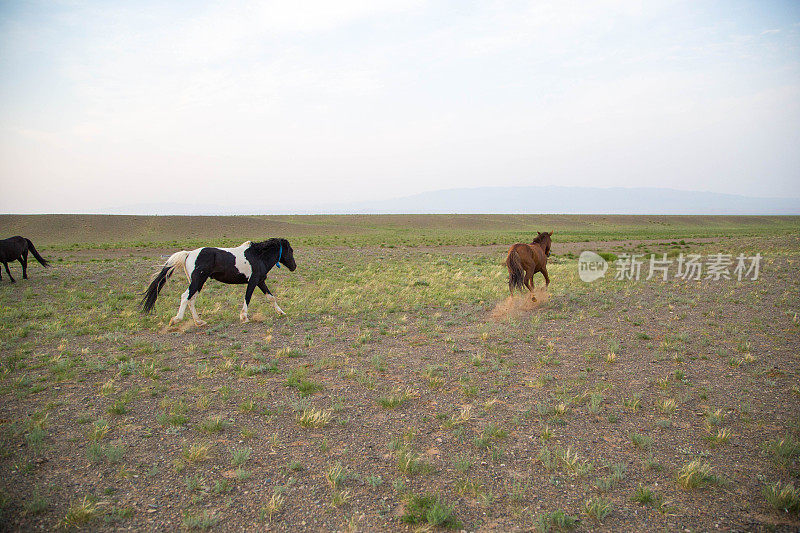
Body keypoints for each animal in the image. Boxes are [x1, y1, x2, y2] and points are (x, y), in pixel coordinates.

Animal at [141, 238, 296, 324]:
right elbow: (247, 297)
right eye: (291, 251)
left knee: (192, 299)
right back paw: (176, 320)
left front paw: (281, 312)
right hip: (198, 280)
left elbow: (271, 297)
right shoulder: (253, 281)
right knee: (186, 297)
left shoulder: (260, 281)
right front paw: (244, 317)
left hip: (198, 282)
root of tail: (189, 253)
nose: (294, 266)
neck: (258, 256)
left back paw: (199, 321)